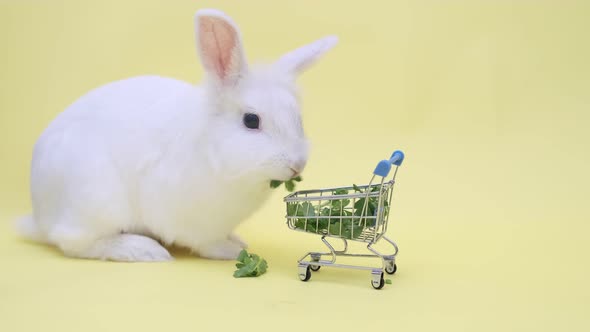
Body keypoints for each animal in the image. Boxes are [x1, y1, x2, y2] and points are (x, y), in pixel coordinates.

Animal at [17, 8, 338, 262]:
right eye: (251, 120)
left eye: (298, 118)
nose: (297, 164)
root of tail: (40, 216)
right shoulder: (192, 219)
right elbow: (206, 242)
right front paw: (232, 251)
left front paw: (238, 241)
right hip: (95, 201)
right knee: (75, 243)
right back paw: (142, 250)